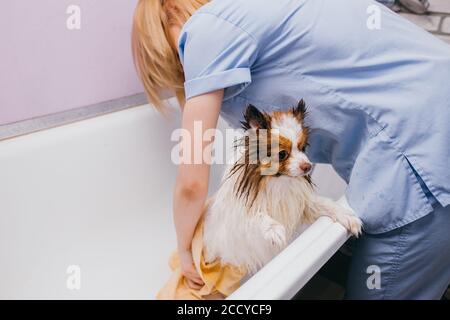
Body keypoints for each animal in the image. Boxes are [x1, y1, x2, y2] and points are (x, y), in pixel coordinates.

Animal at [203, 101, 362, 274]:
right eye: (282, 154)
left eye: (303, 148)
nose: (308, 166)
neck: (278, 181)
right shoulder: (242, 217)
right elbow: (257, 214)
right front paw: (275, 230)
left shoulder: (302, 204)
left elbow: (324, 204)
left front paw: (347, 216)